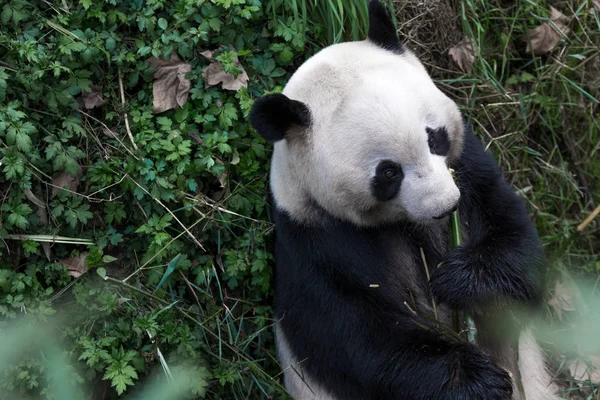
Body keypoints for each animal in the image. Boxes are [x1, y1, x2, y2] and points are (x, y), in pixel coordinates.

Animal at [251, 1, 560, 398]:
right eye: (388, 173)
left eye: (434, 137)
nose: (445, 207)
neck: (403, 223)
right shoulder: (314, 240)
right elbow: (361, 341)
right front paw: (477, 381)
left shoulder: (470, 170)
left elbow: (517, 246)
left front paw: (458, 280)